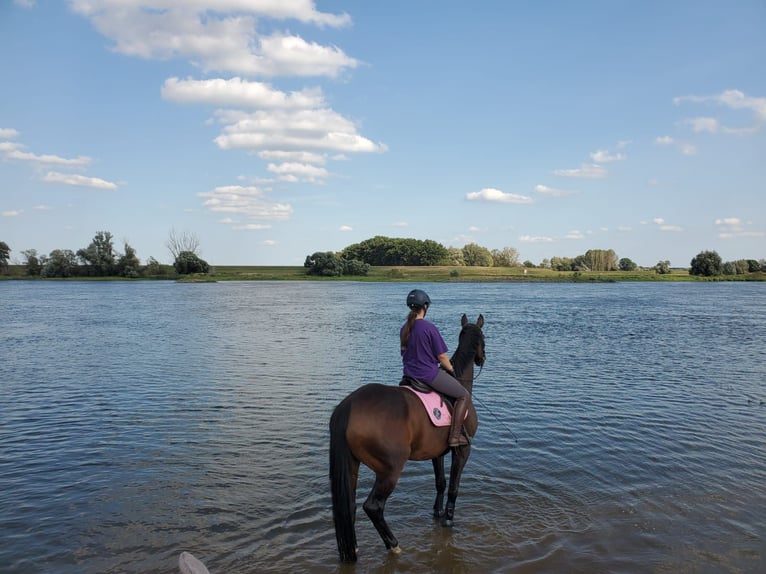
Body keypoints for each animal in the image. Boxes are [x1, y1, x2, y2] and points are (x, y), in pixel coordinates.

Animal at [328, 316, 486, 564]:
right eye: (484, 338)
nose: (482, 358)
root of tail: (348, 406)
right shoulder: (462, 450)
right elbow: (453, 486)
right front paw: (449, 518)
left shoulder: (437, 453)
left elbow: (440, 483)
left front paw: (437, 513)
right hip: (389, 470)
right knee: (373, 507)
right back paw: (393, 545)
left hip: (352, 465)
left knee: (349, 505)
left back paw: (353, 548)